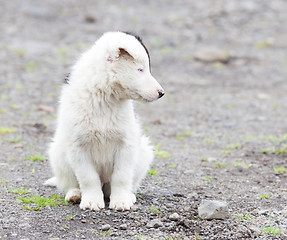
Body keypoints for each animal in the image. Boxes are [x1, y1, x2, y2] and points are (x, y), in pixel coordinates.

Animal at [45, 31, 165, 210]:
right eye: (140, 69)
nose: (161, 93)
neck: (105, 96)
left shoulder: (126, 144)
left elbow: (121, 176)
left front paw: (121, 201)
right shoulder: (77, 146)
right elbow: (88, 177)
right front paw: (92, 201)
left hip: (143, 153)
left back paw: (129, 195)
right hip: (58, 154)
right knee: (71, 183)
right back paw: (75, 194)